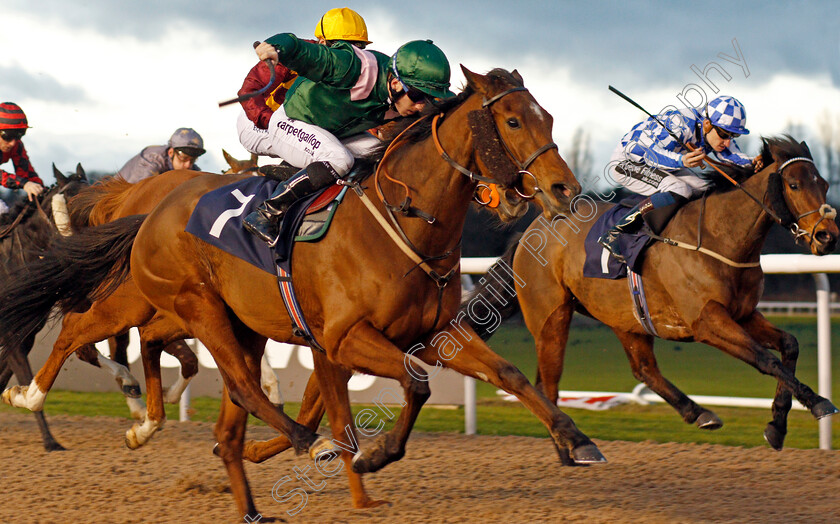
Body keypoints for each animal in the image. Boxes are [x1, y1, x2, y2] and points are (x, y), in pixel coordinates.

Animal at [0, 67, 592, 516]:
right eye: (512, 120)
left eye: (549, 117)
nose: (564, 188)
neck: (401, 222)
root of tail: (151, 209)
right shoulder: (343, 338)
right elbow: (407, 385)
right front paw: (371, 460)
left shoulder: (436, 331)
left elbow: (508, 373)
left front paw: (576, 439)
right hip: (184, 302)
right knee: (121, 340)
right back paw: (34, 395)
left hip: (223, 320)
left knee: (205, 385)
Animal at [462, 136, 836, 458]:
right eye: (794, 185)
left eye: (824, 184)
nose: (827, 237)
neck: (719, 236)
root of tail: (532, 230)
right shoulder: (708, 322)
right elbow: (766, 360)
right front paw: (818, 403)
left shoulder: (742, 314)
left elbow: (789, 345)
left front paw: (777, 425)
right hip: (551, 315)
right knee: (547, 383)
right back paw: (571, 450)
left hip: (625, 316)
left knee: (643, 369)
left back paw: (697, 412)